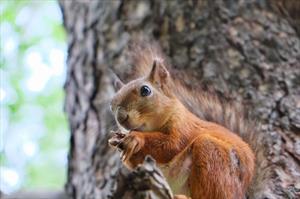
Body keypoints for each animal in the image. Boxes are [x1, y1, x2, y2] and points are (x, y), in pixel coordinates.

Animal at [109, 41, 268, 198]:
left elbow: (171, 144)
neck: (151, 127)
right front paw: (118, 140)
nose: (121, 117)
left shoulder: (184, 126)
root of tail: (243, 191)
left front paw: (136, 138)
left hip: (212, 156)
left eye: (145, 90)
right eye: (112, 105)